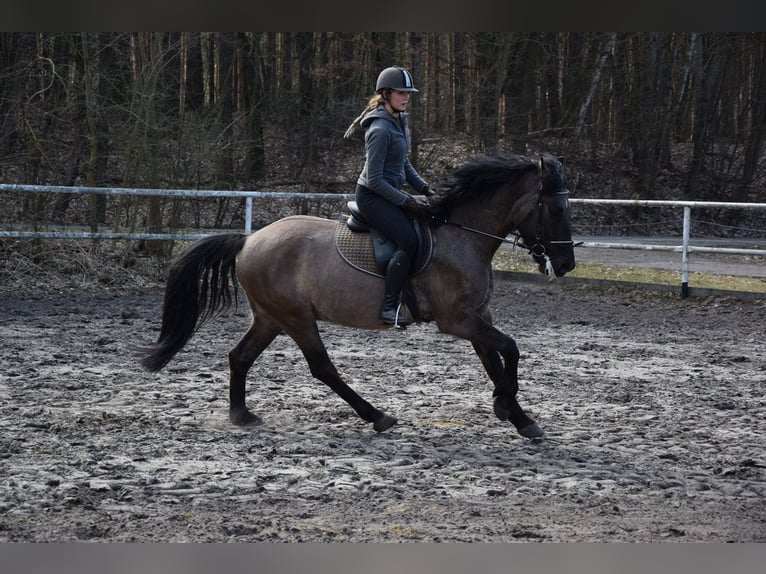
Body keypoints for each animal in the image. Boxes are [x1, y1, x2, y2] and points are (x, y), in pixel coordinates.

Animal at [139, 153, 575, 438]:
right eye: (555, 209)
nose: (567, 263)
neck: (463, 235)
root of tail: (249, 240)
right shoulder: (457, 320)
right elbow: (511, 349)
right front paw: (507, 406)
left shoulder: (477, 316)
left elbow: (496, 362)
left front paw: (517, 416)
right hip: (296, 317)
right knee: (322, 368)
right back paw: (376, 416)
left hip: (270, 317)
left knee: (240, 356)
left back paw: (241, 415)